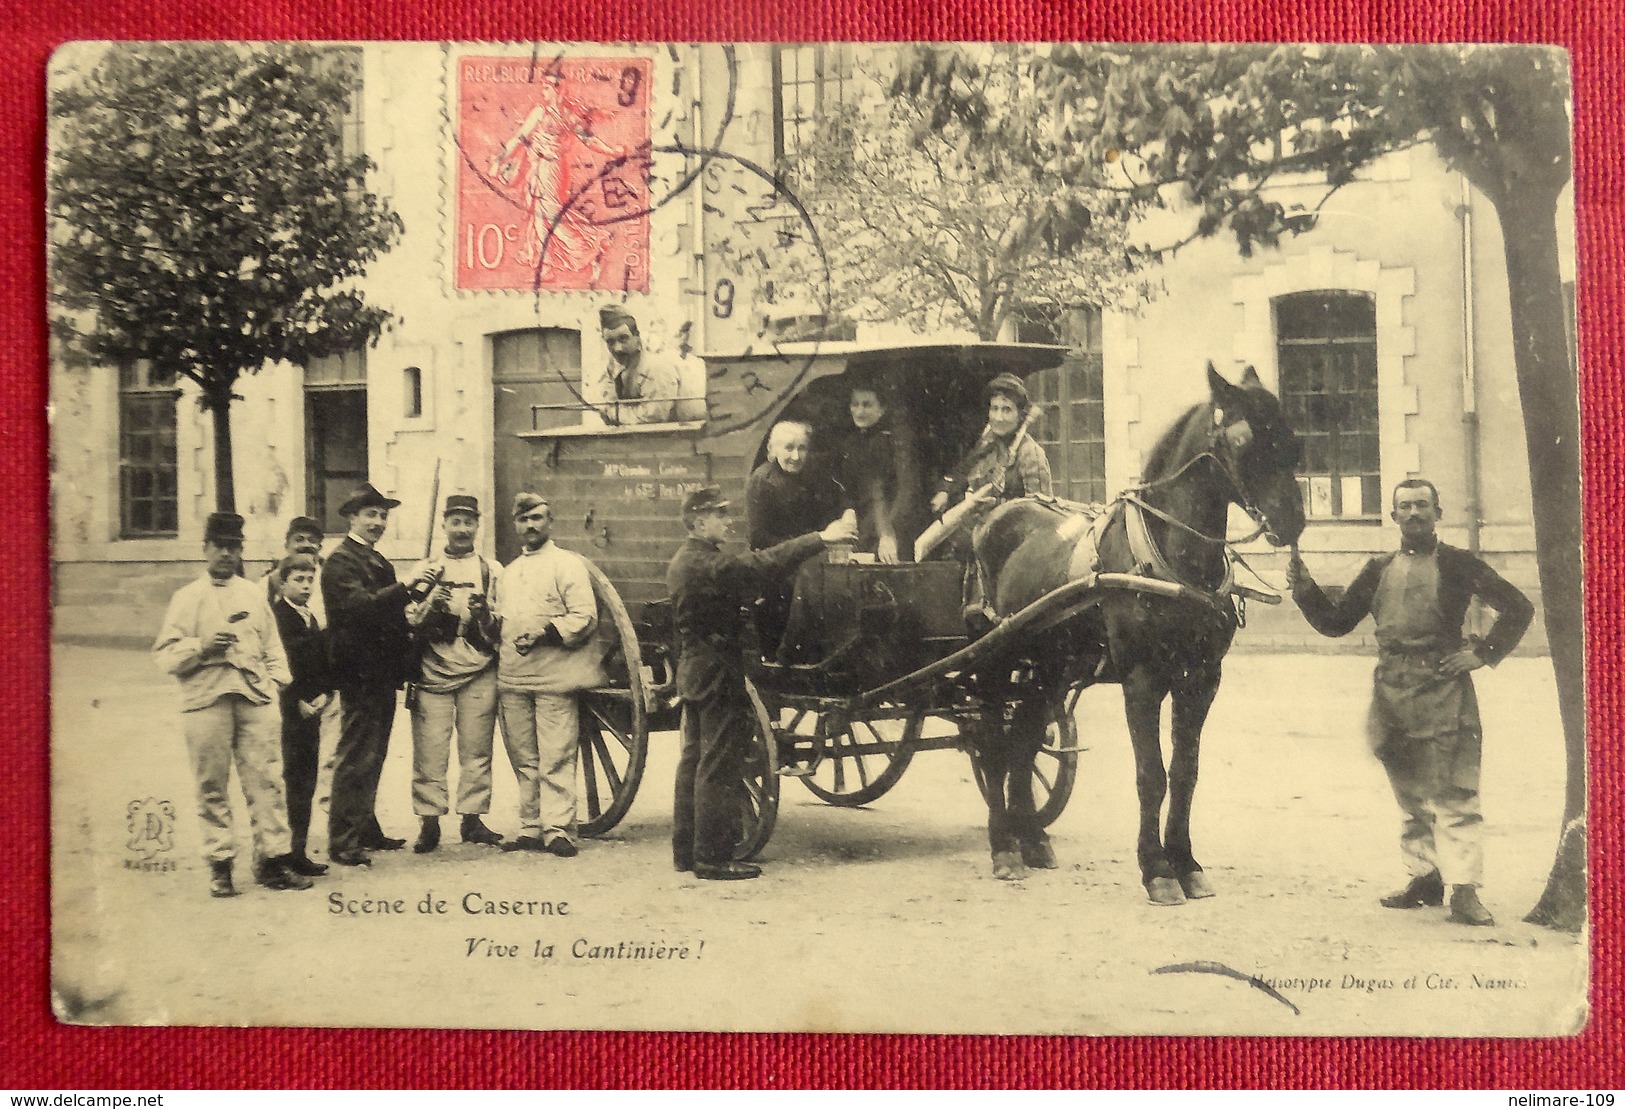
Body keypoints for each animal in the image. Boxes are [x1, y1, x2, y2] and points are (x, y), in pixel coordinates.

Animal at [962, 362, 1306, 897]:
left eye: (1290, 435)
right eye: (1243, 439)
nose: (1294, 519)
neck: (1171, 560)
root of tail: (993, 519)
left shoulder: (1201, 679)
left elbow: (1185, 772)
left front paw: (1186, 862)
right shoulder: (1142, 680)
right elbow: (1152, 775)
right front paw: (1156, 870)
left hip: (1048, 671)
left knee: (1024, 741)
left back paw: (1032, 839)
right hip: (999, 661)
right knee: (995, 744)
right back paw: (1003, 846)